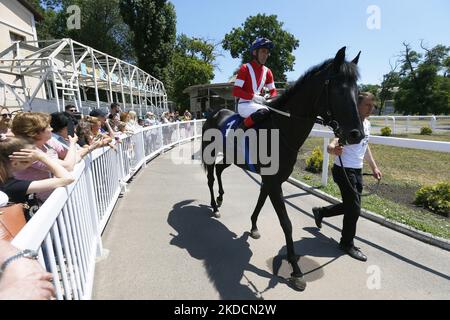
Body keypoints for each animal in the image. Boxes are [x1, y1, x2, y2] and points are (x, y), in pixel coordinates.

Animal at [202, 47, 364, 290]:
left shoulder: (272, 180)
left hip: (230, 157)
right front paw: (296, 270)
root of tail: (213, 112)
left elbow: (260, 202)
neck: (282, 130)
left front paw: (253, 226)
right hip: (210, 154)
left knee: (220, 171)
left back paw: (221, 198)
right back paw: (214, 205)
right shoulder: (273, 181)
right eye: (339, 89)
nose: (356, 135)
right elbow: (286, 224)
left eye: (357, 91)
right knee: (211, 178)